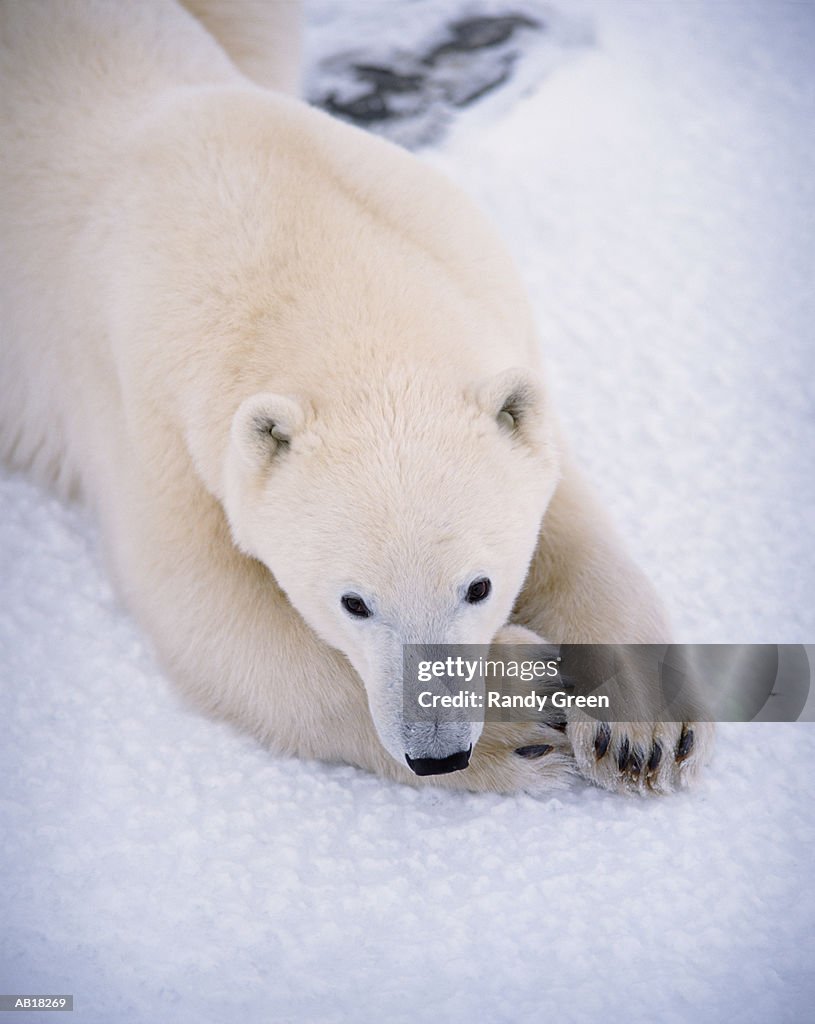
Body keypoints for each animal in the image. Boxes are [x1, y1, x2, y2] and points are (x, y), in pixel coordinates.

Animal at [0, 0, 712, 794]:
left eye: (479, 586)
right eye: (354, 601)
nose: (438, 754)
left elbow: (564, 509)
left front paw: (640, 729)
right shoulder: (147, 408)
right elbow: (214, 614)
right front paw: (526, 711)